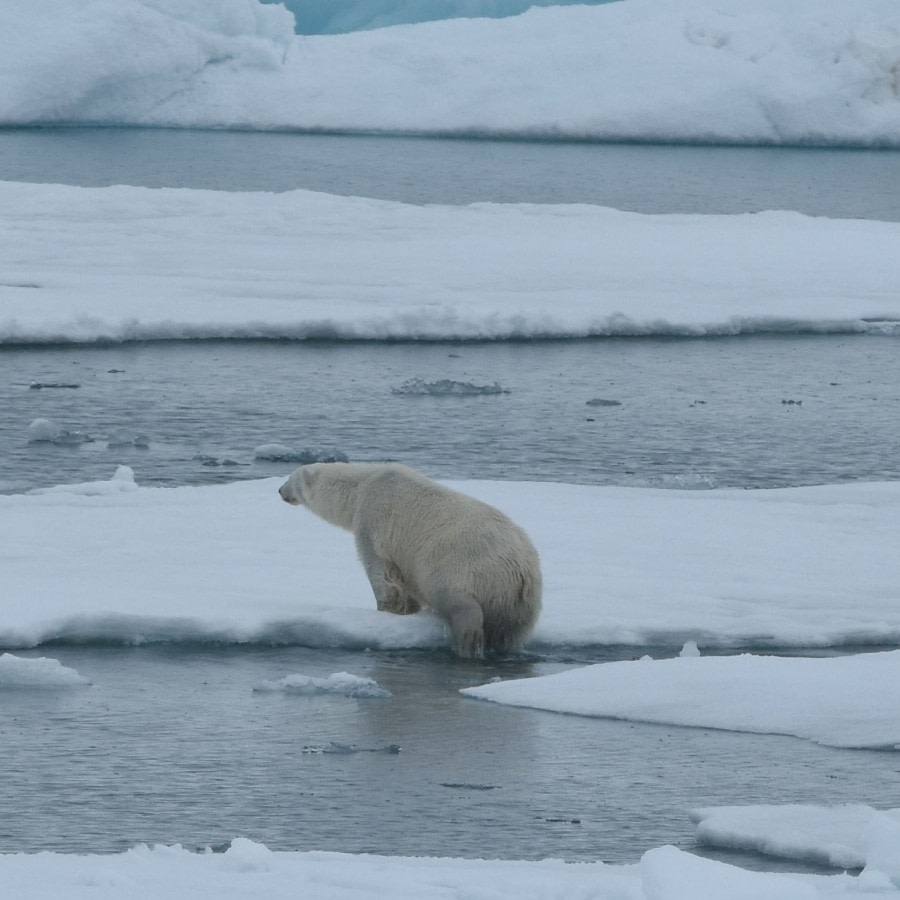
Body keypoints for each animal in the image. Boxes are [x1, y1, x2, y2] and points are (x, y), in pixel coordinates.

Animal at [276, 460, 540, 656]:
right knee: (510, 630)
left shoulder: (373, 520)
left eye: (290, 477)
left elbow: (381, 572)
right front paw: (408, 610)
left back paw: (466, 645)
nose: (279, 490)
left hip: (464, 567)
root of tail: (521, 567)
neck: (363, 484)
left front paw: (386, 611)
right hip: (519, 601)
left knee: (458, 603)